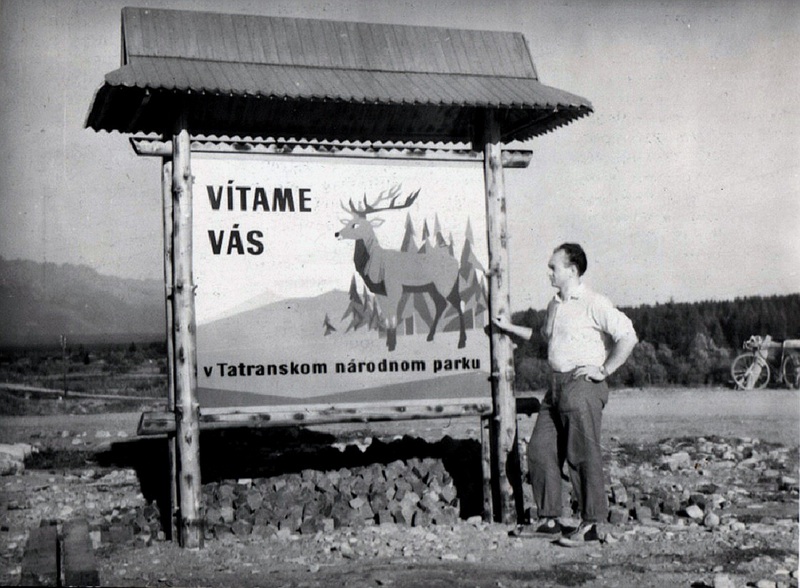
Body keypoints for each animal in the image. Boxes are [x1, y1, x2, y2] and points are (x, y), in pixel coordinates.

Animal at [334, 186, 466, 352]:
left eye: (355, 225)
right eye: (349, 222)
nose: (337, 233)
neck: (376, 266)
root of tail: (456, 263)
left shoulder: (394, 288)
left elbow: (393, 317)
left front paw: (392, 345)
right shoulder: (379, 292)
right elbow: (386, 317)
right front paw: (388, 343)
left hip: (446, 284)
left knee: (459, 304)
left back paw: (461, 342)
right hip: (432, 287)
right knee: (441, 304)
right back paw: (430, 337)